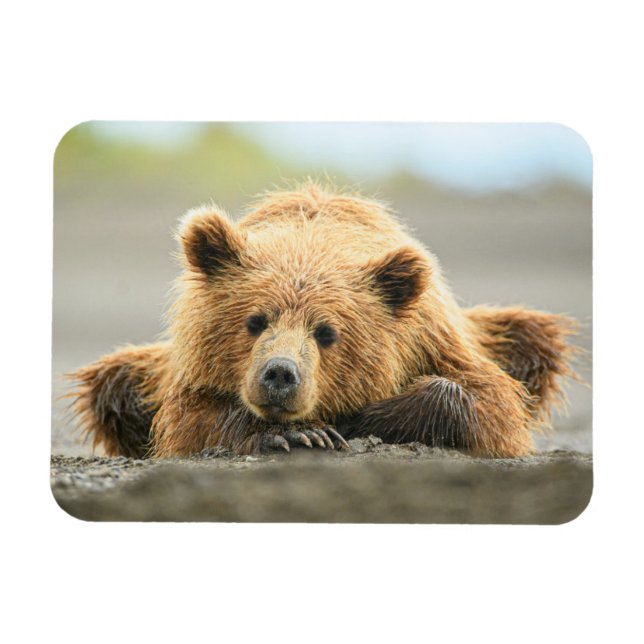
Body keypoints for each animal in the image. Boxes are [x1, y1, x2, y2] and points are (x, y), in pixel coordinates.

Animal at [68, 182, 578, 459]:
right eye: (255, 320)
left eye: (327, 332)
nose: (280, 374)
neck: (313, 239)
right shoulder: (188, 372)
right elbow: (189, 422)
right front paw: (300, 433)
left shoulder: (435, 339)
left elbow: (489, 404)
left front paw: (357, 419)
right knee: (113, 383)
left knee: (535, 339)